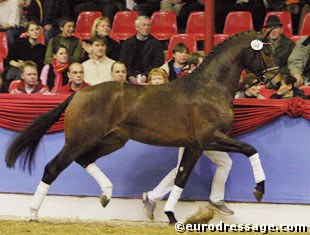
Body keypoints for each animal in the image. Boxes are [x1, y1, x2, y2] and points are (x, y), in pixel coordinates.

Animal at [4, 30, 280, 223]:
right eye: (265, 52)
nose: (276, 81)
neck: (211, 88)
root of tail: (78, 94)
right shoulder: (208, 139)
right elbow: (250, 149)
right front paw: (259, 190)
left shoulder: (196, 145)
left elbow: (180, 176)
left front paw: (169, 215)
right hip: (80, 139)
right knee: (53, 168)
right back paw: (33, 214)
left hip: (113, 140)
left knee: (85, 159)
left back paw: (106, 194)